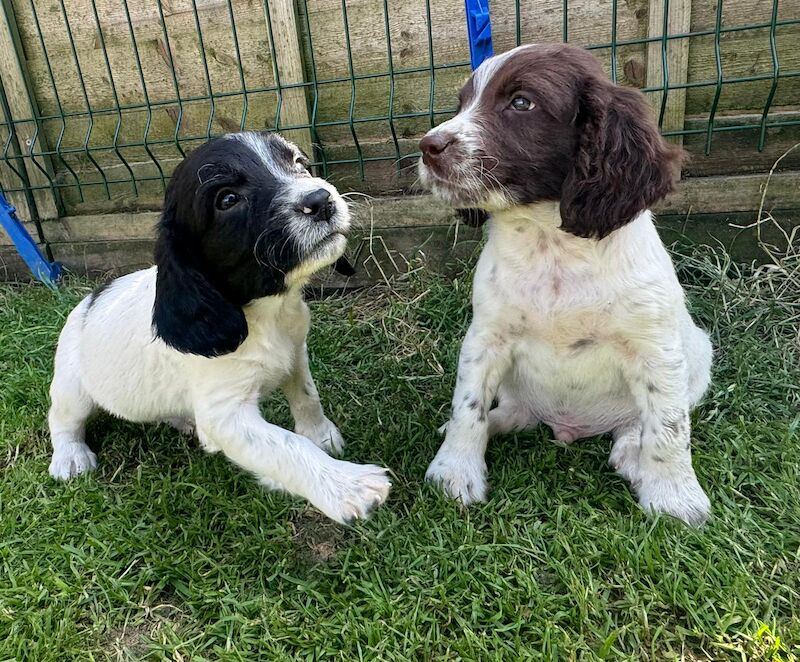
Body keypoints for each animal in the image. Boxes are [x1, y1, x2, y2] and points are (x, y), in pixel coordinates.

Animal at [47, 132, 390, 528]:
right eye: (227, 199)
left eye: (299, 164)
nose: (320, 200)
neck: (265, 311)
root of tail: (86, 302)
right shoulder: (226, 415)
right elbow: (287, 447)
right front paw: (348, 486)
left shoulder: (295, 351)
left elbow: (307, 396)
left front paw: (321, 436)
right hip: (73, 386)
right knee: (62, 419)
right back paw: (70, 456)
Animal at [418, 44, 712, 528]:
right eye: (461, 103)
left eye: (522, 103)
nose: (427, 147)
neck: (550, 241)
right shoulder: (486, 337)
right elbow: (468, 407)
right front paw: (454, 472)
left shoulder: (656, 349)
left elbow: (669, 428)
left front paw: (675, 498)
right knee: (512, 413)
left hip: (699, 357)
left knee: (641, 422)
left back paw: (632, 451)